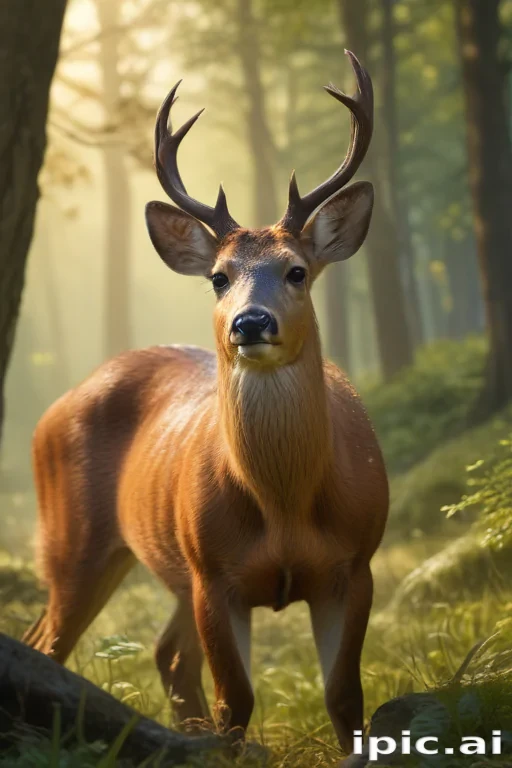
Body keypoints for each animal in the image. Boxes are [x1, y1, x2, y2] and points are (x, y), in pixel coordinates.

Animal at [23, 50, 388, 755]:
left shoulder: (355, 564)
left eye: (297, 270)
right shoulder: (215, 573)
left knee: (164, 654)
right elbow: (236, 703)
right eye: (219, 277)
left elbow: (345, 699)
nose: (250, 322)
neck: (285, 506)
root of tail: (50, 412)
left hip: (162, 567)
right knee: (47, 644)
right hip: (74, 539)